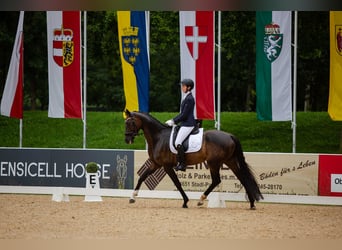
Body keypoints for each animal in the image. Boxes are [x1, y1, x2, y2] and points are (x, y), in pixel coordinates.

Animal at [124, 110, 264, 210]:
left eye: (130, 123)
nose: (127, 140)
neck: (158, 136)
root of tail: (230, 135)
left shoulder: (166, 166)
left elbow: (177, 183)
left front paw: (185, 202)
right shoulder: (155, 164)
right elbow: (142, 177)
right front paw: (132, 197)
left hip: (213, 163)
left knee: (216, 180)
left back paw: (201, 200)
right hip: (230, 161)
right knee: (242, 178)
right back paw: (252, 203)